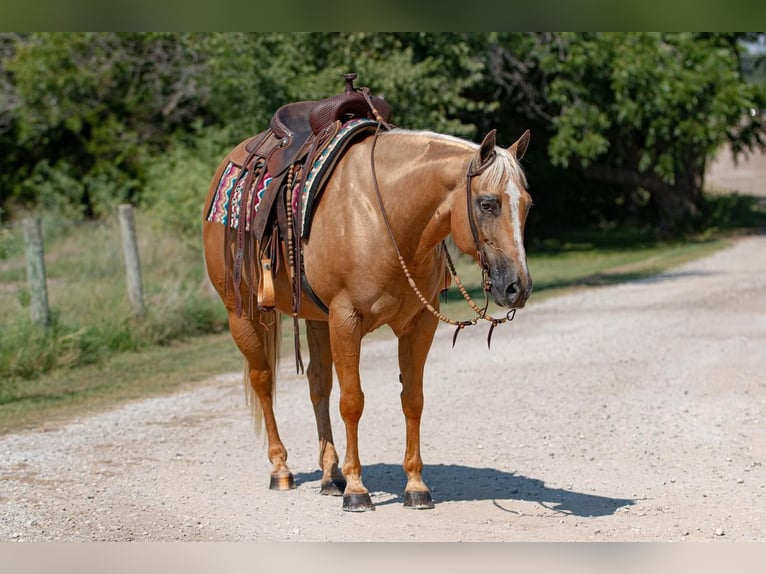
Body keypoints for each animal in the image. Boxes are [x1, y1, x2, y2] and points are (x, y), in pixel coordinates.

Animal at [202, 126, 536, 512]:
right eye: (487, 203)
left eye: (527, 204)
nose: (518, 287)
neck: (384, 216)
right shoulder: (346, 319)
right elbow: (352, 402)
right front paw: (356, 489)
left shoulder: (419, 323)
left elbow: (412, 399)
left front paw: (416, 486)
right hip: (242, 313)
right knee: (263, 381)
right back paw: (281, 470)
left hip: (317, 319)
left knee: (318, 384)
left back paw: (330, 475)